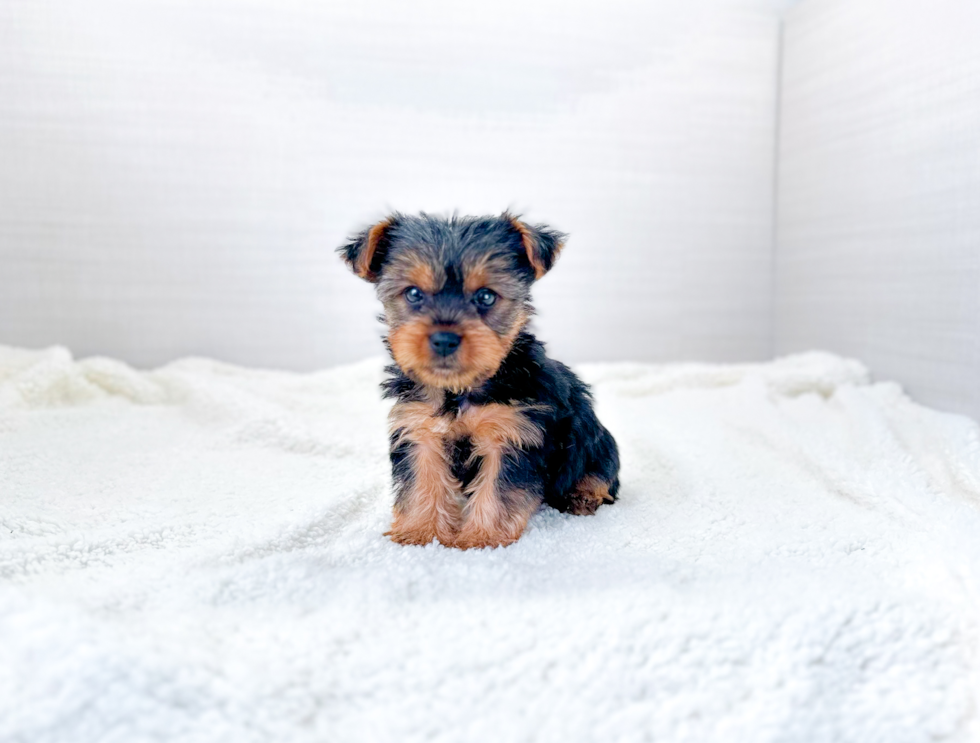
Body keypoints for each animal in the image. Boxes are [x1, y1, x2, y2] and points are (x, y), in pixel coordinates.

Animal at [340, 212, 620, 548]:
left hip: (598, 448)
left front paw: (480, 539)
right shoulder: (419, 428)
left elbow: (499, 490)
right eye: (413, 294)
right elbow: (422, 479)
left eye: (486, 296)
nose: (444, 339)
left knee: (601, 476)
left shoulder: (512, 434)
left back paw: (582, 496)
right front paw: (419, 532)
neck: (459, 388)